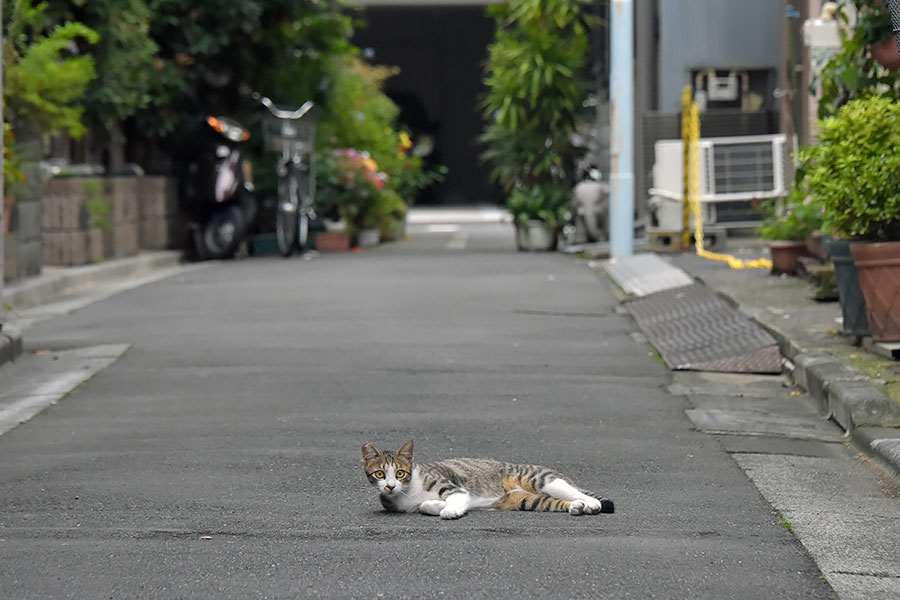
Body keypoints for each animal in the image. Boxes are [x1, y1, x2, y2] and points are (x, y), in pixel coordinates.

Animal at [362, 440, 616, 520]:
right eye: (380, 474)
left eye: (400, 473)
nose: (390, 486)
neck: (407, 492)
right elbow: (425, 505)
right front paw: (436, 506)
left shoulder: (452, 486)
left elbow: (456, 498)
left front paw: (449, 510)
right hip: (527, 500)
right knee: (556, 502)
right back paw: (578, 507)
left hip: (540, 479)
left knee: (576, 491)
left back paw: (591, 503)